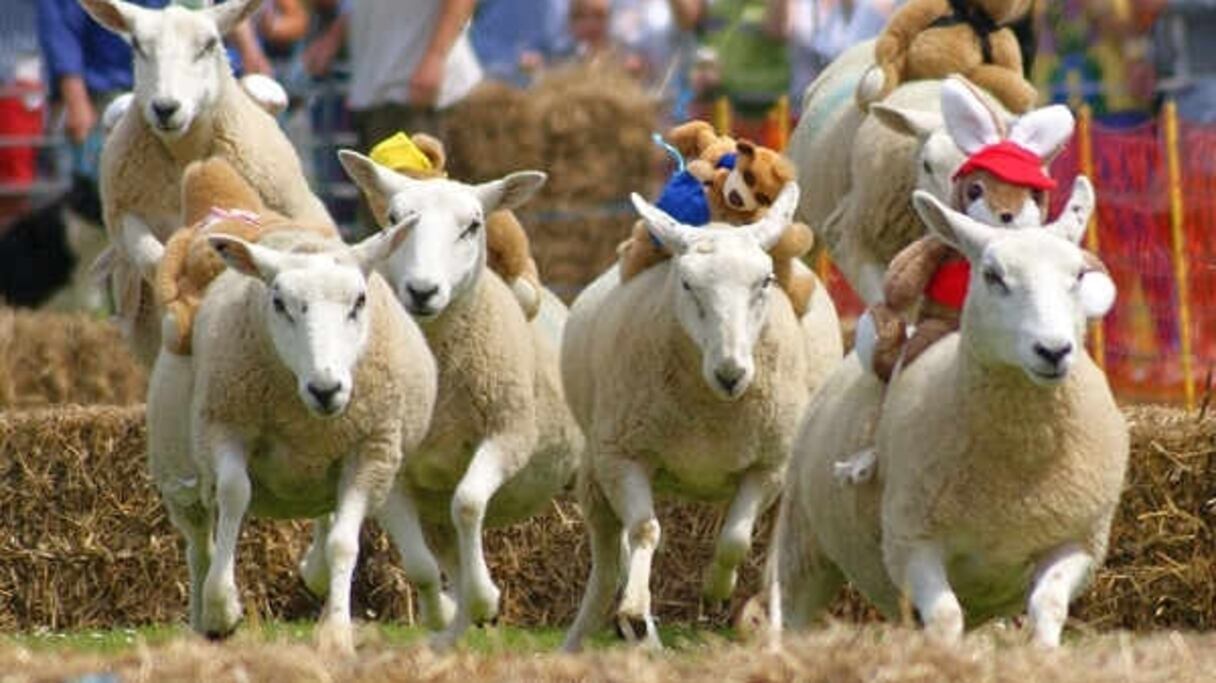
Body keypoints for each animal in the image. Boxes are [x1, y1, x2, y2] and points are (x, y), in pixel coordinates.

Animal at [79, 0, 332, 365]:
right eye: (137, 46)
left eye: (209, 44)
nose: (165, 108)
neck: (186, 151)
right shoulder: (124, 210)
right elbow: (151, 254)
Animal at [144, 223, 438, 655]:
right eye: (279, 302)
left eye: (359, 301)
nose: (326, 389)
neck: (306, 420)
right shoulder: (223, 429)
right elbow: (234, 495)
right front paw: (222, 607)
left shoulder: (373, 453)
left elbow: (343, 543)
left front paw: (337, 632)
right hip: (179, 474)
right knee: (198, 546)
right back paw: (203, 622)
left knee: (325, 525)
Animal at [334, 151, 584, 648]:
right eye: (394, 219)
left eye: (472, 225)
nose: (422, 291)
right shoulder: (389, 464)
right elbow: (420, 565)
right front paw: (445, 611)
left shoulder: (510, 435)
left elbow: (468, 502)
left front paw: (486, 595)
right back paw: (449, 636)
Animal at [560, 183, 843, 651]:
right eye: (687, 284)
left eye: (765, 281)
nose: (731, 374)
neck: (712, 413)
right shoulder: (623, 455)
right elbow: (645, 531)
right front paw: (636, 611)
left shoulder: (770, 465)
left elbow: (734, 540)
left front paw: (716, 590)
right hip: (597, 472)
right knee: (607, 565)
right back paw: (597, 637)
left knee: (777, 557)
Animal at [767, 190, 1127, 648]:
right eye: (992, 276)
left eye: (1079, 275)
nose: (1053, 350)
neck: (1017, 466)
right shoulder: (912, 541)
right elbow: (944, 615)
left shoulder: (1078, 542)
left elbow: (1047, 607)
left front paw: (1044, 654)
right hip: (803, 538)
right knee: (789, 605)